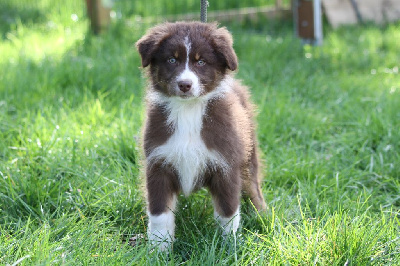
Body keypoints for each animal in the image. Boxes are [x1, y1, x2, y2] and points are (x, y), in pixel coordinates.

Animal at [137, 21, 266, 250]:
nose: (185, 85)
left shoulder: (226, 166)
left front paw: (229, 247)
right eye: (172, 60)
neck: (188, 111)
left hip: (248, 158)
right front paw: (158, 250)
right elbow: (160, 214)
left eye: (201, 62)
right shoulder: (158, 163)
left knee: (253, 186)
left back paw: (262, 216)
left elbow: (228, 212)